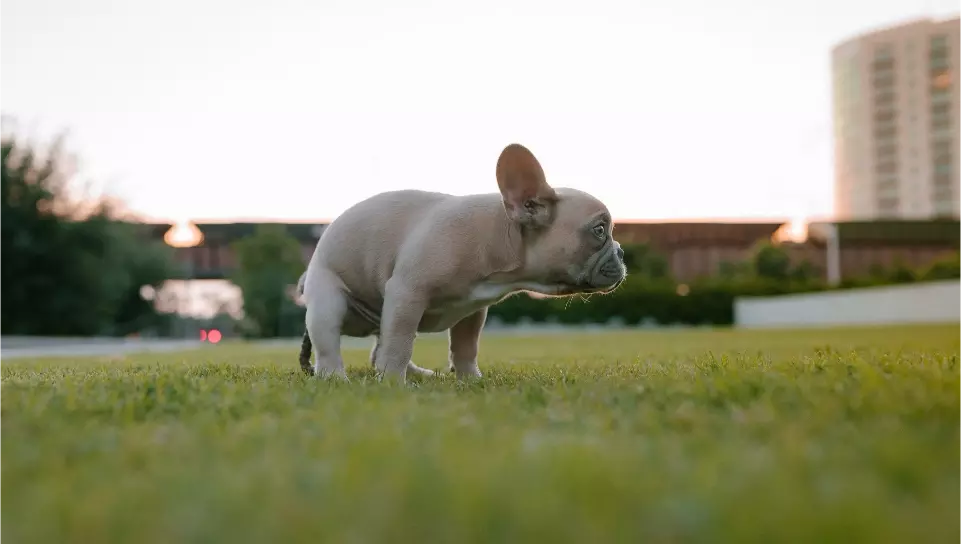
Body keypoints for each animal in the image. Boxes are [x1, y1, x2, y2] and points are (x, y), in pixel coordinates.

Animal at [300, 142, 632, 384]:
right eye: (599, 230)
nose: (621, 252)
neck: (501, 234)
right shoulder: (408, 293)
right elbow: (399, 343)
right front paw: (394, 383)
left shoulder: (472, 309)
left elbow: (465, 346)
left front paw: (470, 379)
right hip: (329, 301)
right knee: (330, 345)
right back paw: (337, 377)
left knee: (379, 345)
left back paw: (418, 374)